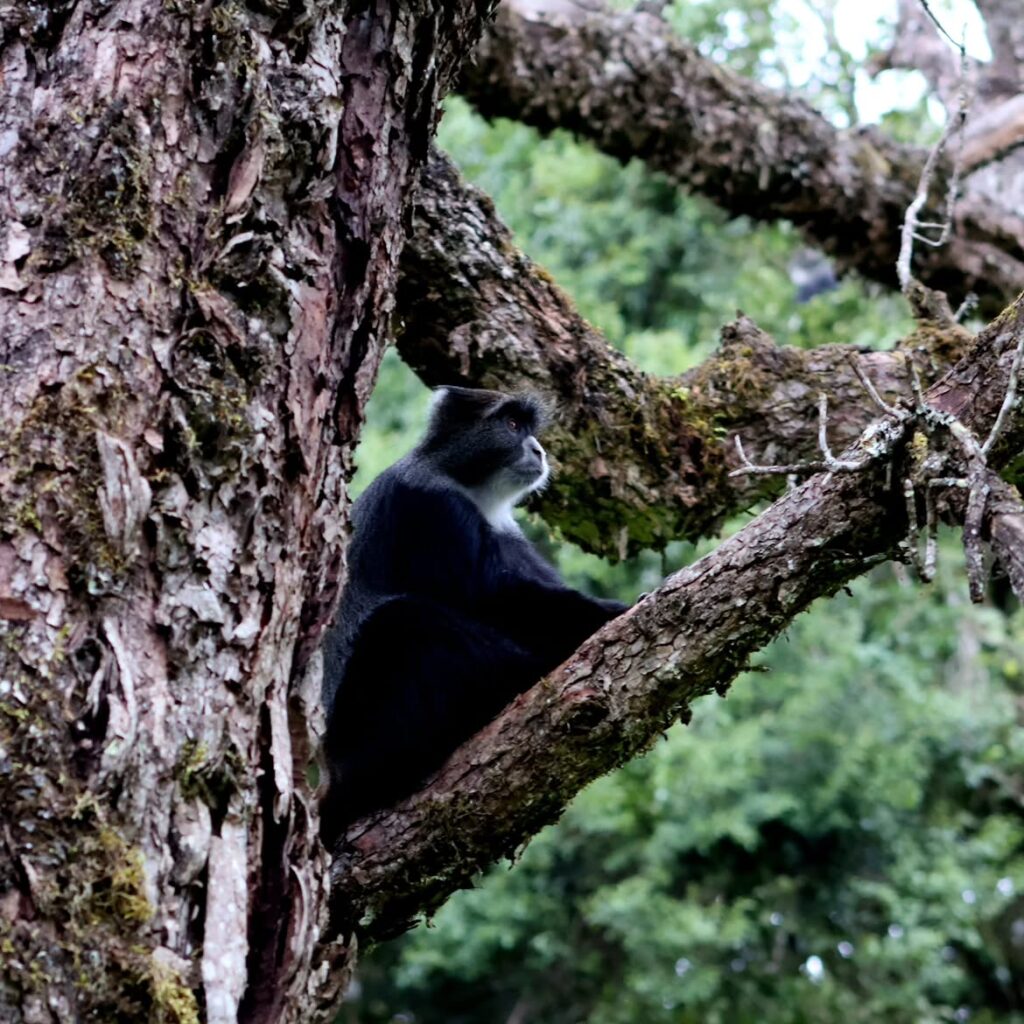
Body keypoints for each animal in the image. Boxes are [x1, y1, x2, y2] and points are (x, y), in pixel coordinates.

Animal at [320, 386, 627, 837]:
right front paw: (611, 612)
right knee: (403, 621)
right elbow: (489, 596)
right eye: (512, 425)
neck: (467, 485)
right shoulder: (430, 510)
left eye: (529, 427)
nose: (539, 450)